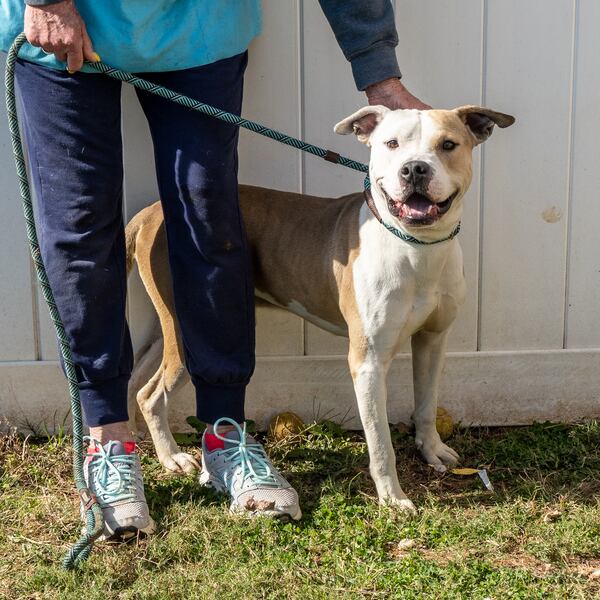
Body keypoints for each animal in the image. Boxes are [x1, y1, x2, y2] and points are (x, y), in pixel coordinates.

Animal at [124, 105, 512, 508]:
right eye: (391, 144)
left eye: (448, 145)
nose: (415, 169)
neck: (416, 246)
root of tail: (150, 212)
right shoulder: (368, 362)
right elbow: (380, 442)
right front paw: (392, 497)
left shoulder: (432, 341)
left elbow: (426, 403)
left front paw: (431, 449)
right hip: (190, 334)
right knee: (152, 395)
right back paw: (171, 458)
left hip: (167, 327)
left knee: (136, 381)